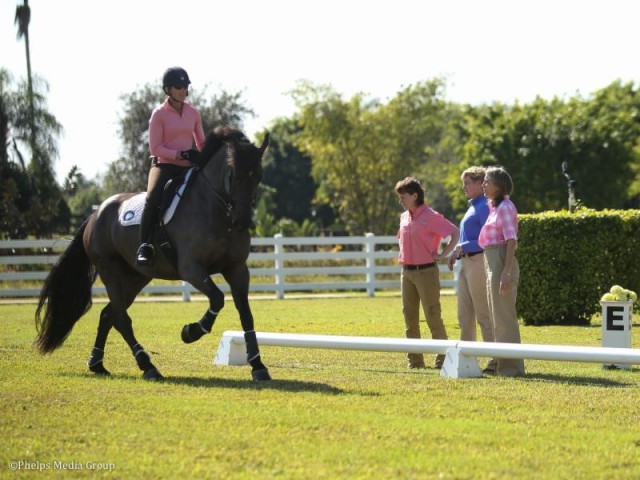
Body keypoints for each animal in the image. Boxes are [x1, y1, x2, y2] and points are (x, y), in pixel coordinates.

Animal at [35, 127, 270, 382]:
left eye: (258, 176)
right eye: (233, 175)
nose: (242, 222)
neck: (215, 211)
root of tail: (95, 215)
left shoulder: (237, 269)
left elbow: (246, 314)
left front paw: (258, 365)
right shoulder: (191, 269)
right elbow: (217, 298)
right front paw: (191, 332)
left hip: (136, 277)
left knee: (109, 314)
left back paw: (97, 363)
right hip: (110, 270)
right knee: (121, 318)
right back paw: (147, 366)